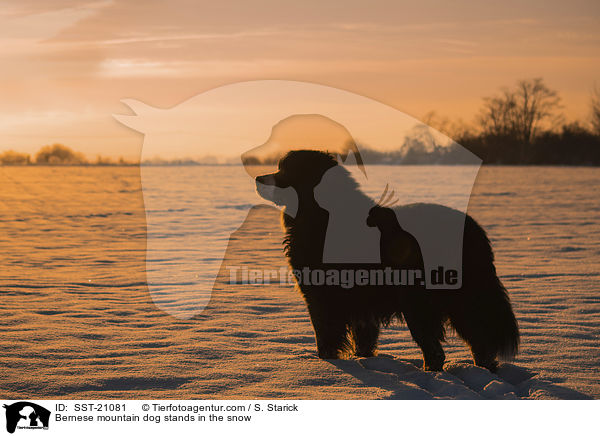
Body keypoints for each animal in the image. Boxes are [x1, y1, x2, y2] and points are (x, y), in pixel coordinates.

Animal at [255, 151, 516, 372]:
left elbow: (326, 336)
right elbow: (364, 339)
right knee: (478, 340)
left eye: (284, 170)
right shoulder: (361, 304)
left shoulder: (321, 296)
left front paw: (328, 365)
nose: (257, 177)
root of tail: (473, 229)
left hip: (420, 301)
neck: (321, 215)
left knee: (436, 349)